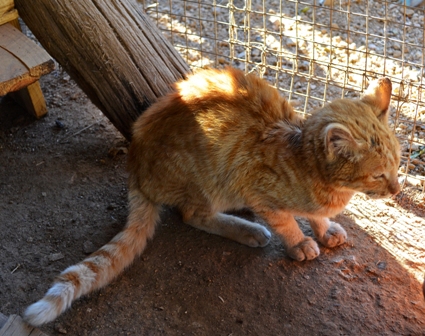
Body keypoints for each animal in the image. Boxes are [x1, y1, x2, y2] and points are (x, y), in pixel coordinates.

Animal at [25, 66, 398, 326]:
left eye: (397, 165)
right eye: (378, 175)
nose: (396, 189)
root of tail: (135, 164)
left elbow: (316, 215)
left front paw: (324, 228)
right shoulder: (257, 188)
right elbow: (286, 221)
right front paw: (300, 243)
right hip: (211, 183)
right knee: (192, 215)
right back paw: (249, 230)